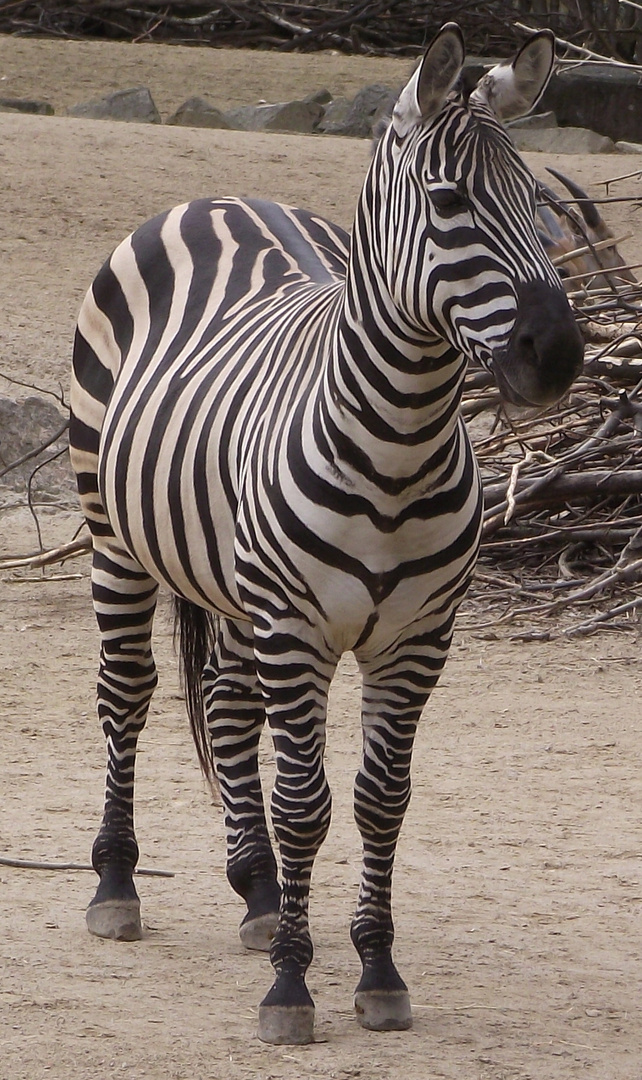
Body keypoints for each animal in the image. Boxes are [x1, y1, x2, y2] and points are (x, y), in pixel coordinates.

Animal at [68, 25, 579, 1045]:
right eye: (450, 202)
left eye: (542, 202)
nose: (559, 354)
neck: (400, 443)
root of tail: (216, 197)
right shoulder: (297, 626)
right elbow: (308, 804)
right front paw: (293, 990)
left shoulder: (418, 638)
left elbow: (383, 803)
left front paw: (375, 970)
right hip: (116, 539)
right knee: (128, 695)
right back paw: (116, 882)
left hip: (232, 585)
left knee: (227, 708)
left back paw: (261, 895)